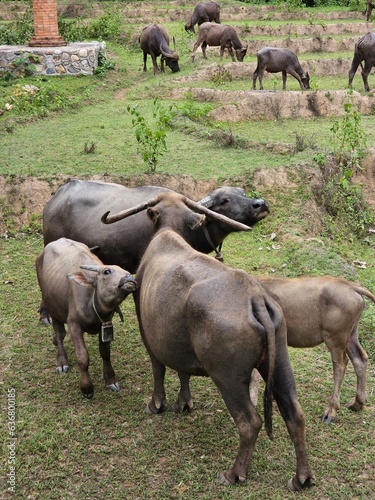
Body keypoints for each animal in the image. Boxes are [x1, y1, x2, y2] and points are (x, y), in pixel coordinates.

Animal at [35, 238, 138, 398]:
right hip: (52, 306)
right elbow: (82, 357)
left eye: (126, 271)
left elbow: (105, 352)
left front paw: (110, 380)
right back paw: (62, 361)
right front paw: (87, 388)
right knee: (59, 333)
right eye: (107, 271)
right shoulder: (74, 325)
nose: (129, 277)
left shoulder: (105, 324)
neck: (92, 300)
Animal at [101, 192, 316, 492]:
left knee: (250, 422)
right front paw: (184, 403)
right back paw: (302, 478)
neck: (166, 236)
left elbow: (159, 369)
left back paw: (234, 473)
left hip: (227, 377)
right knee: (295, 415)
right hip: (281, 363)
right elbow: (183, 371)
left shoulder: (149, 335)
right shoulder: (177, 344)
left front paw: (157, 404)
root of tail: (255, 298)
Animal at [258, 278, 375, 422]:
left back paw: (330, 410)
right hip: (351, 334)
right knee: (360, 358)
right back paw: (357, 403)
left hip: (335, 338)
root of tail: (352, 286)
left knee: (341, 365)